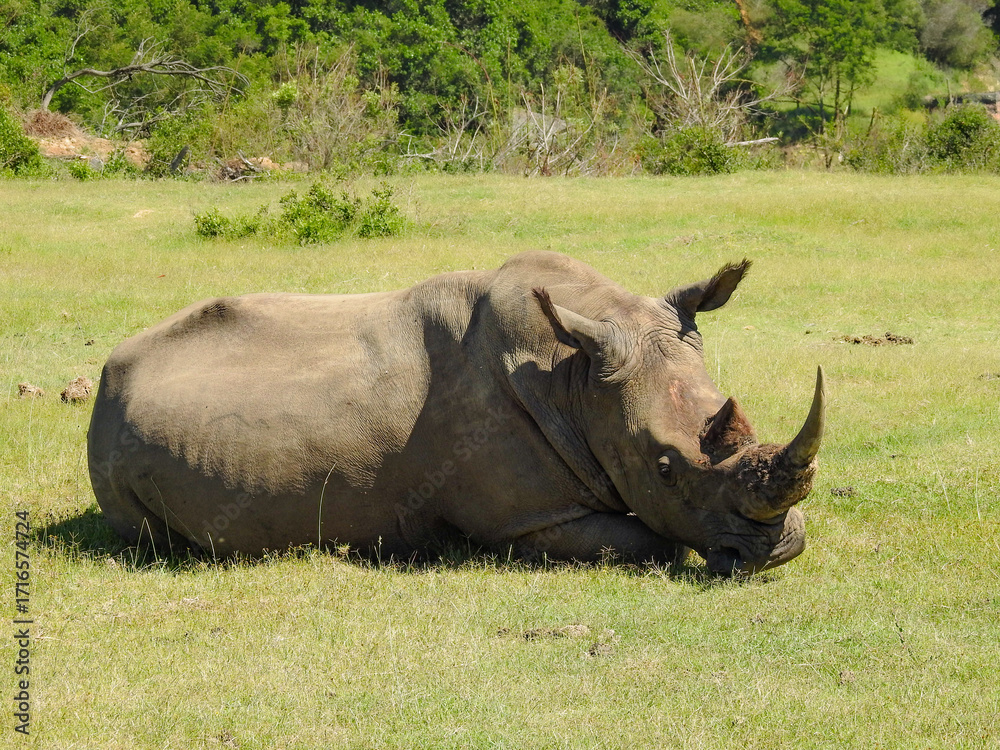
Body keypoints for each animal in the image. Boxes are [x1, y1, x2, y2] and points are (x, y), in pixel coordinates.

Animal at [88, 250, 824, 575]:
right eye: (666, 468)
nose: (776, 549)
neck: (574, 375)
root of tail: (109, 374)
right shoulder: (531, 519)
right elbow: (656, 540)